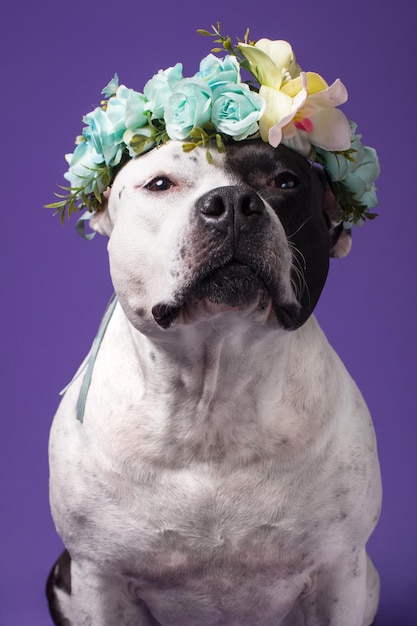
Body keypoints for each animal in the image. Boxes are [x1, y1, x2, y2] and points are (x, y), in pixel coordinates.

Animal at [46, 140, 380, 624]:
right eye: (160, 183)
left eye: (285, 181)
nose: (233, 204)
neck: (213, 397)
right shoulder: (98, 577)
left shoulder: (340, 570)